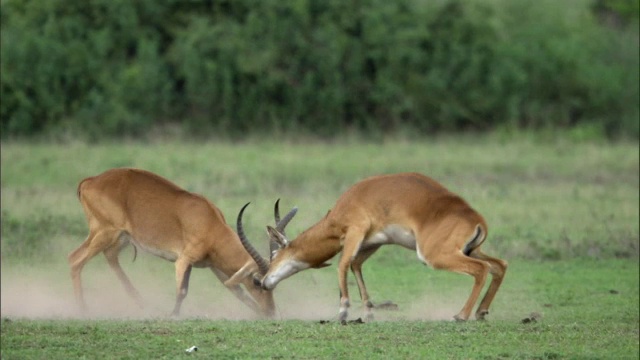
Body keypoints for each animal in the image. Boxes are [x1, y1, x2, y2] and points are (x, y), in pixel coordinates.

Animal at [67, 167, 292, 316]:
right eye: (256, 281)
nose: (271, 312)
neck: (210, 224)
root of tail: (90, 180)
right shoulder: (183, 260)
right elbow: (182, 291)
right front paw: (173, 316)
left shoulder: (215, 268)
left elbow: (238, 293)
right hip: (105, 232)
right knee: (75, 258)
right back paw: (82, 310)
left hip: (120, 237)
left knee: (109, 257)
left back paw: (141, 304)